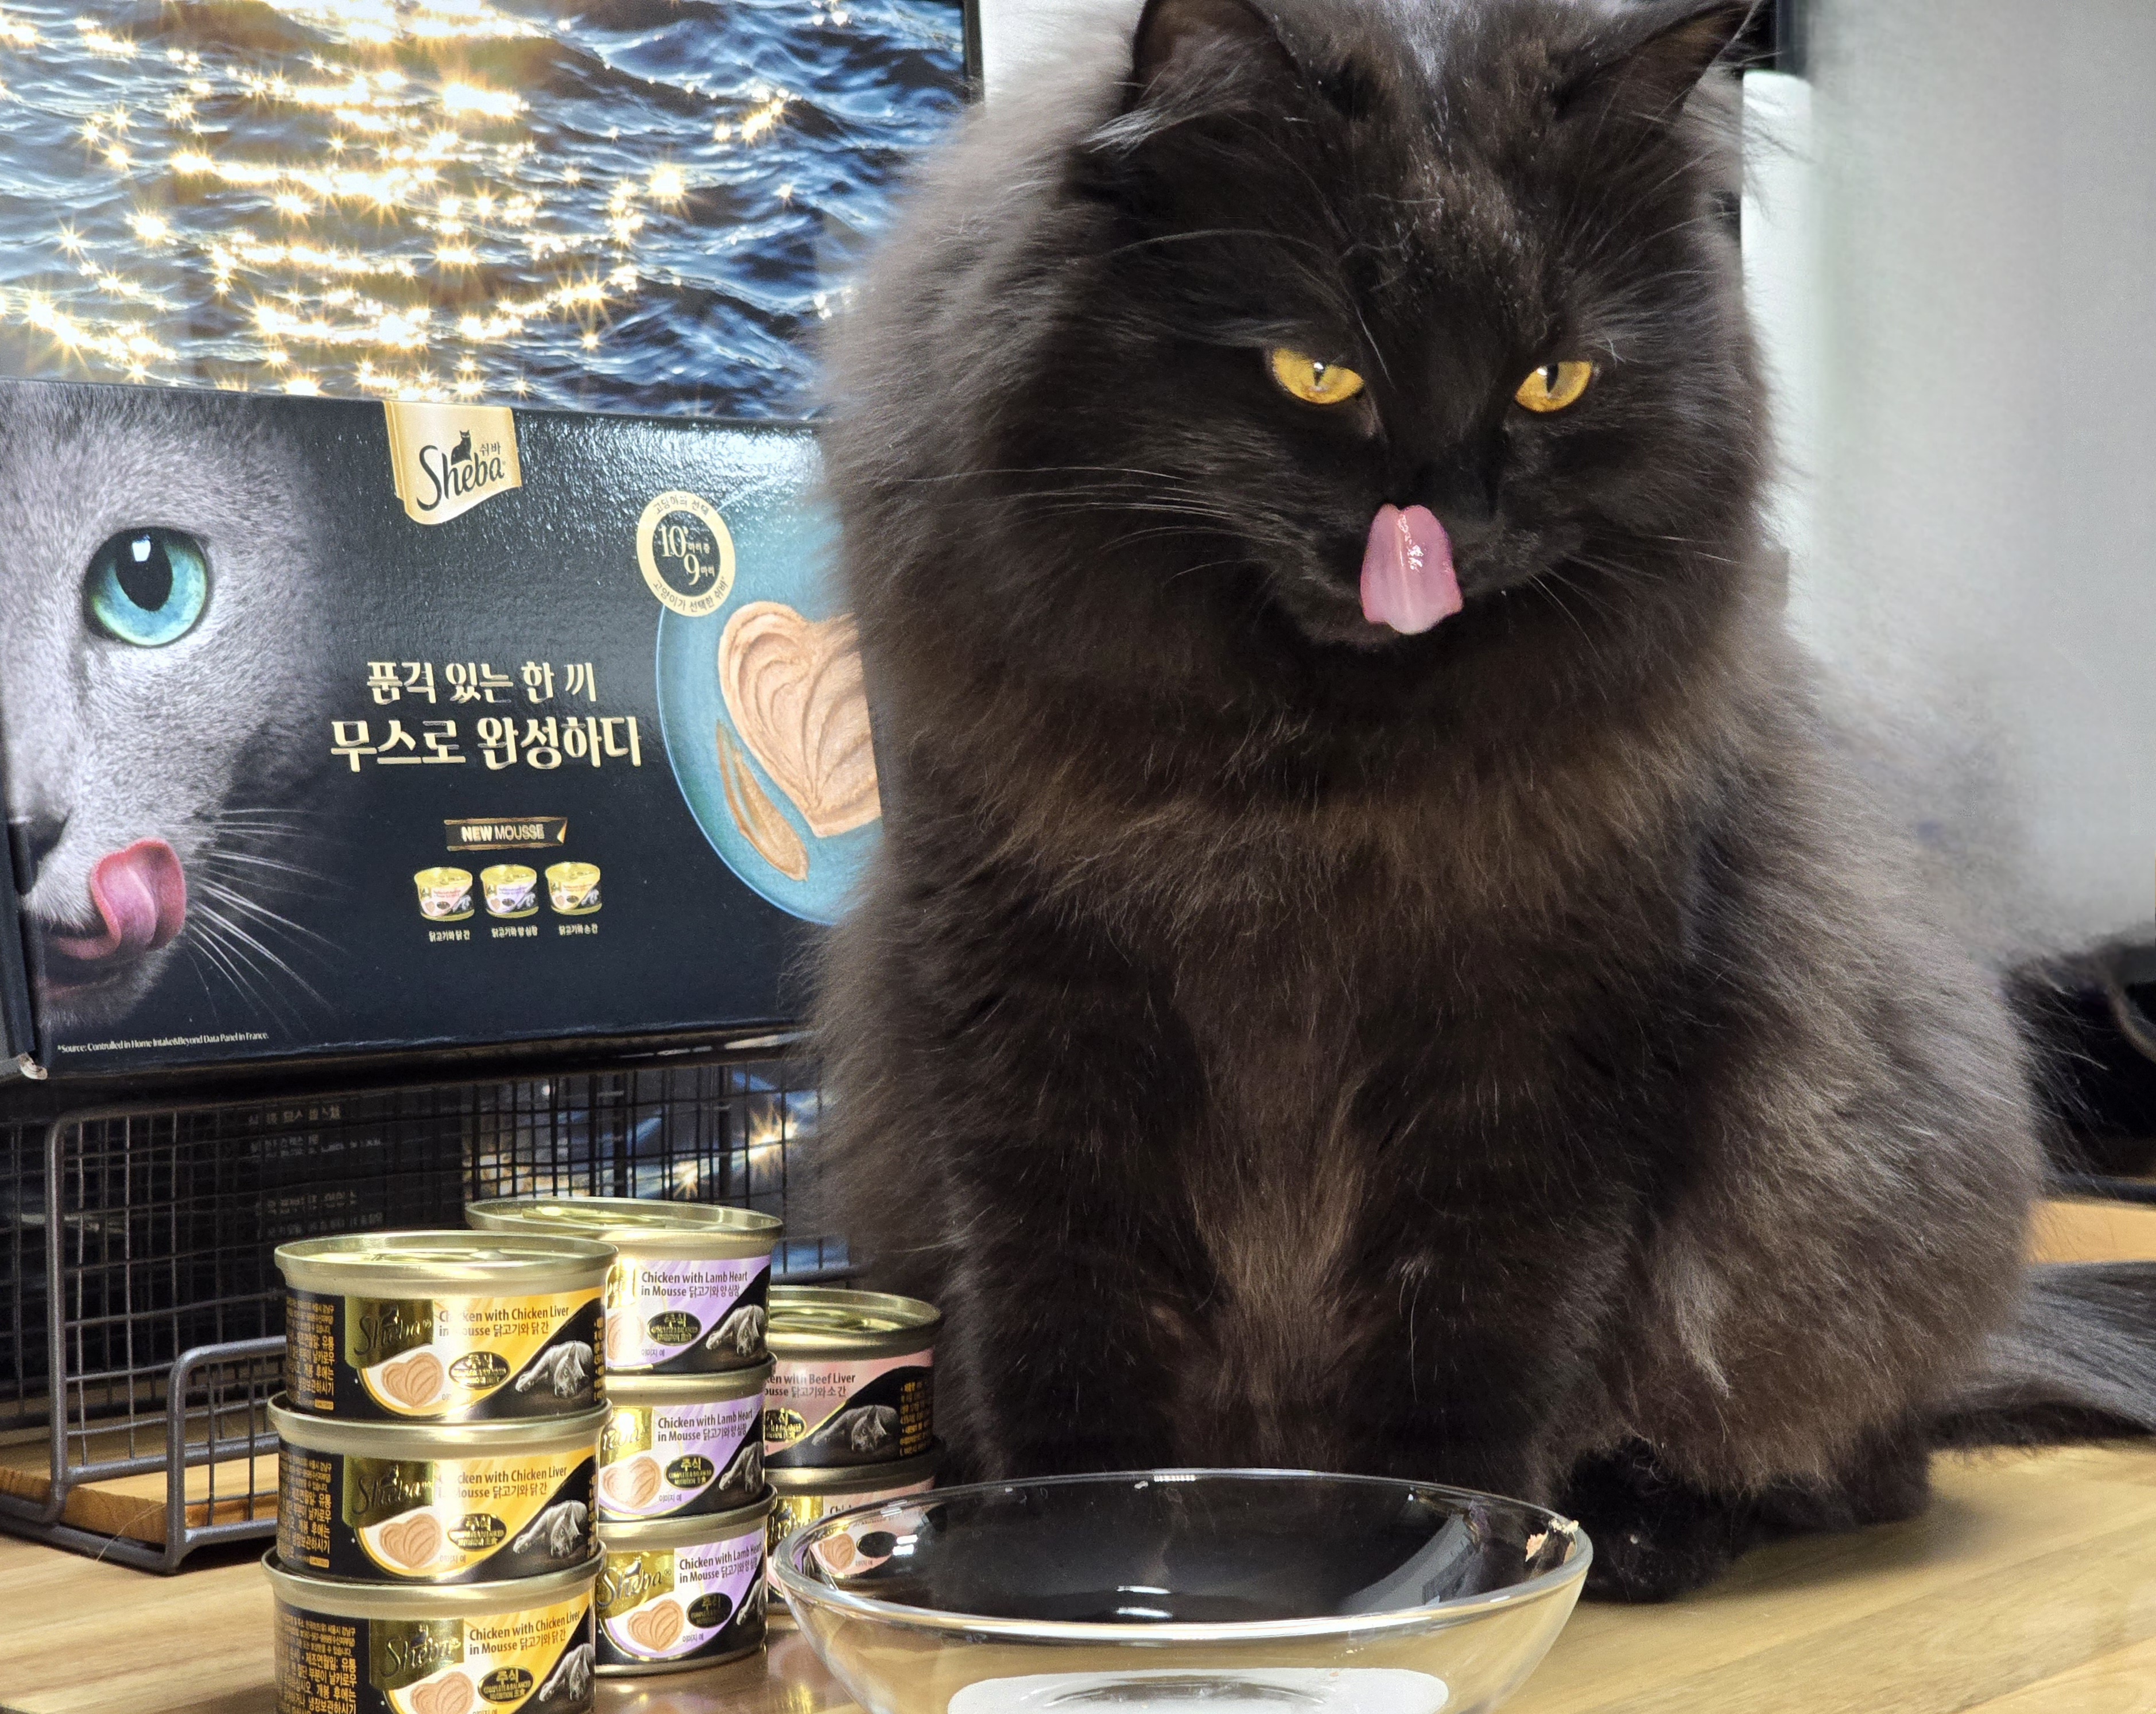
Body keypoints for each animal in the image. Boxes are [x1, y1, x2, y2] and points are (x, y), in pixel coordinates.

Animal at [812, 0, 2156, 1601]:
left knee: (1849, 1463)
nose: (1441, 525)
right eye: (1318, 373)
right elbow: (1061, 1324)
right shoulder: (1032, 1019)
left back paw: (1643, 1528)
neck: (1304, 789)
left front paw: (1427, 1556)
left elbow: (1472, 1337)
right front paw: (1066, 1569)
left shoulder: (1532, 1046)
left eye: (1551, 383)